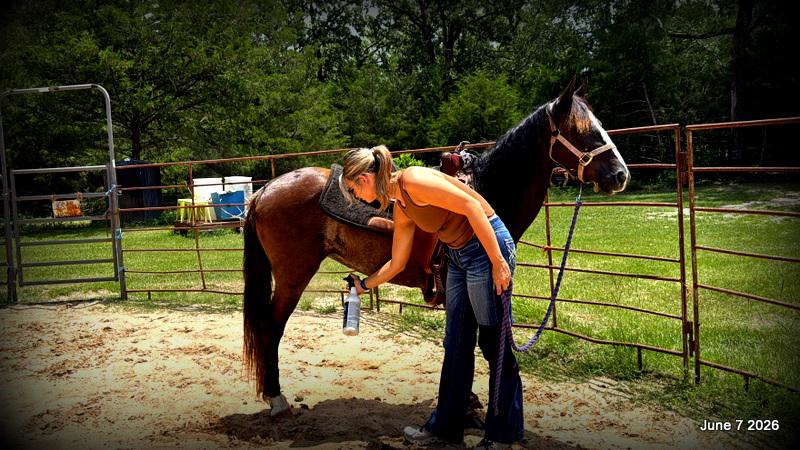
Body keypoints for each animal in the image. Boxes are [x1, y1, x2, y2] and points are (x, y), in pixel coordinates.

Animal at [242, 78, 629, 415]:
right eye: (581, 129)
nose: (621, 174)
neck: (486, 191)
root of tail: (264, 191)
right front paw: (468, 403)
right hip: (293, 276)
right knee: (271, 328)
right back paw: (277, 399)